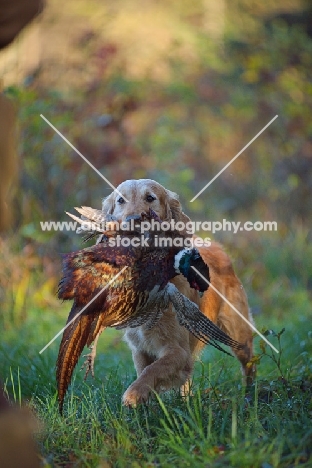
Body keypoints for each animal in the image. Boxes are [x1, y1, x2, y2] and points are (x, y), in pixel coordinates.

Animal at [101, 179, 255, 406]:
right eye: (121, 200)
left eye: (150, 198)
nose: (132, 220)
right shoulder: (140, 349)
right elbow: (145, 369)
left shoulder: (178, 350)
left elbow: (152, 370)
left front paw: (133, 394)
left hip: (238, 333)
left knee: (250, 363)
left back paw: (250, 395)